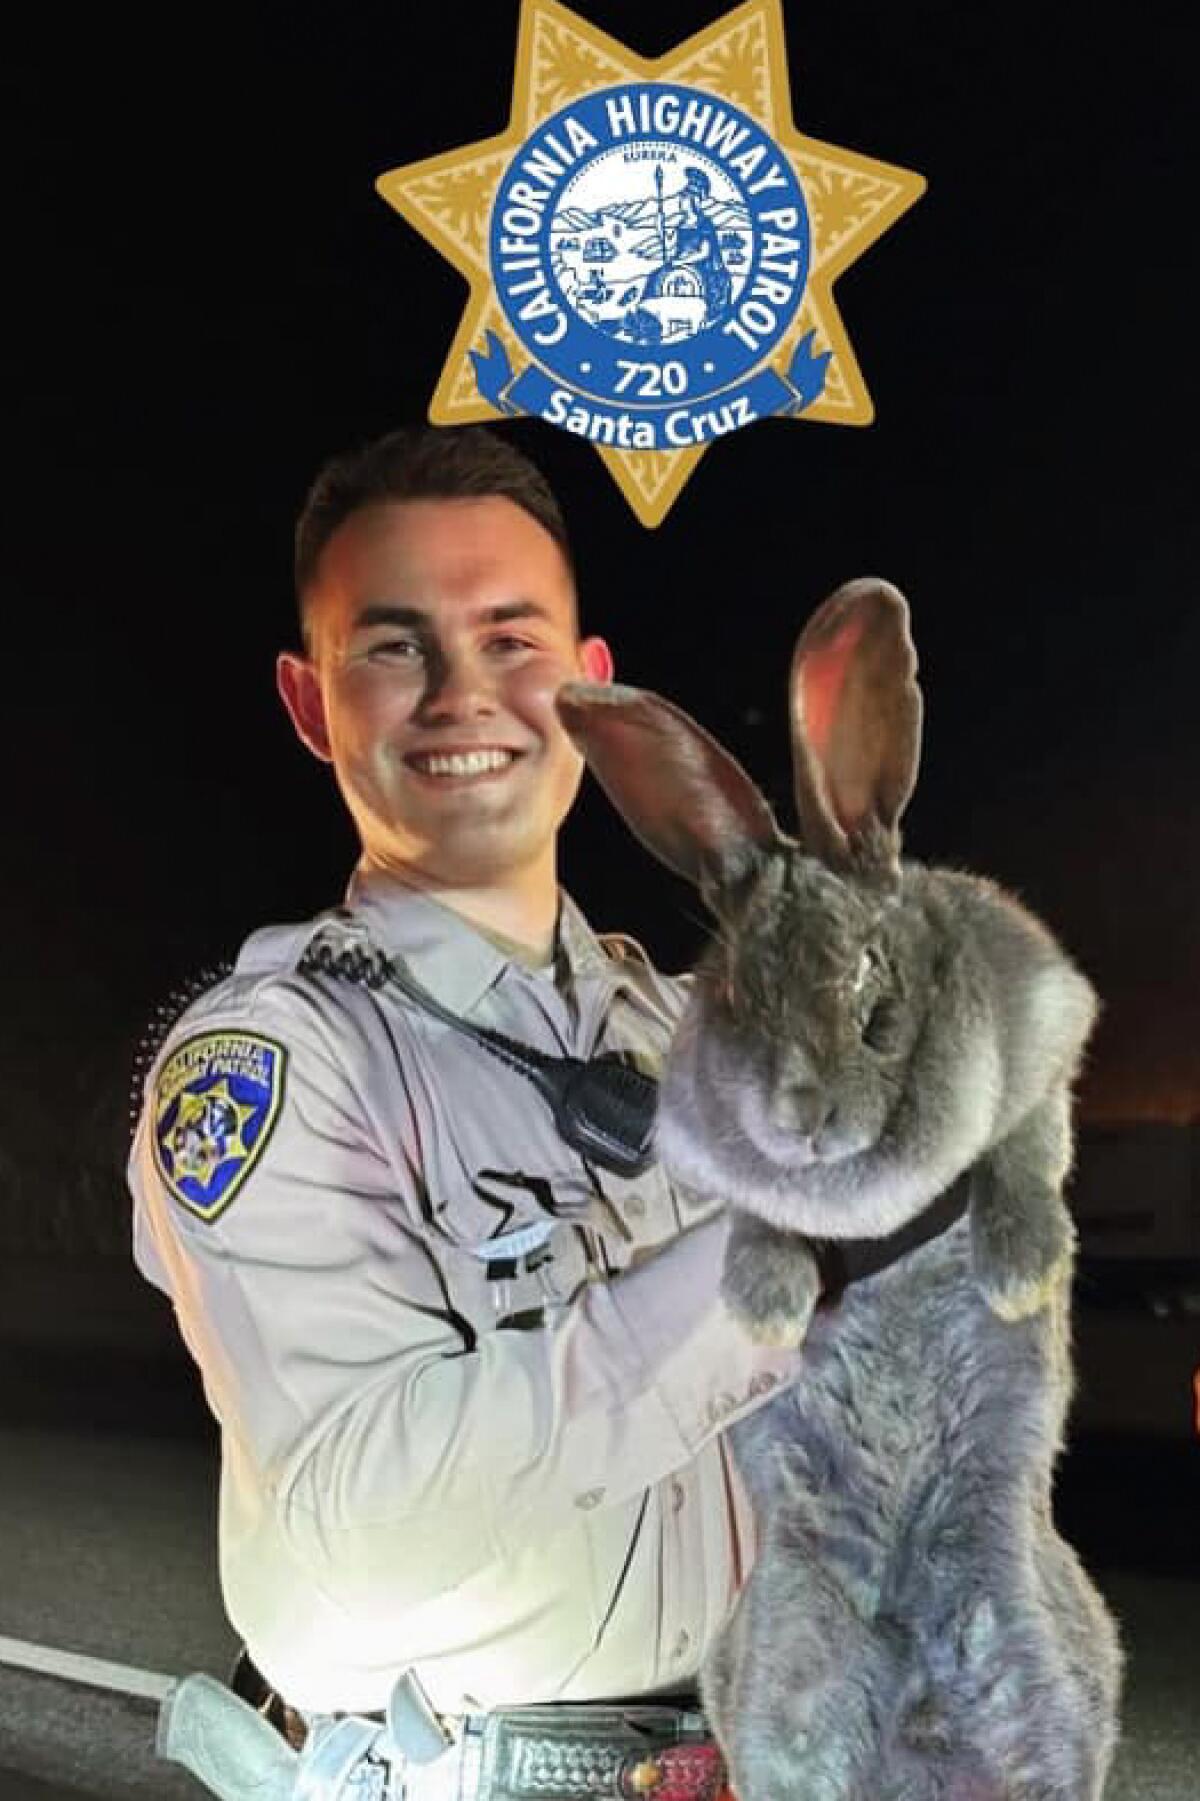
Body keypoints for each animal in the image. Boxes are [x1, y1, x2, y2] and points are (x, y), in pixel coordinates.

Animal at [554, 579, 1117, 1801]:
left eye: (872, 988)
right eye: (730, 992)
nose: (800, 1116)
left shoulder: (1049, 1041)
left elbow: (1022, 1154)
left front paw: (1019, 1270)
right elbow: (754, 1216)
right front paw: (766, 1301)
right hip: (790, 1674)